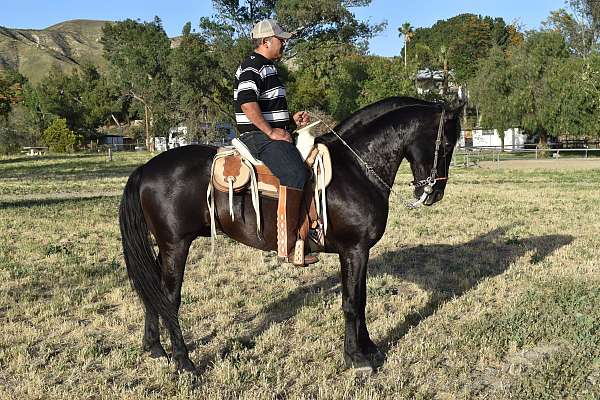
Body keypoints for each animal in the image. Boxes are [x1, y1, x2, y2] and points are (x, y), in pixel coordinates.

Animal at [117, 97, 464, 376]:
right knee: (168, 298)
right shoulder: (353, 250)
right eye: (447, 145)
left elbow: (362, 298)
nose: (434, 193)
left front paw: (369, 348)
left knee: (152, 291)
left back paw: (155, 348)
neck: (355, 167)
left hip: (165, 247)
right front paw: (356, 357)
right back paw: (184, 361)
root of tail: (145, 169)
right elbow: (352, 302)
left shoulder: (360, 252)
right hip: (176, 246)